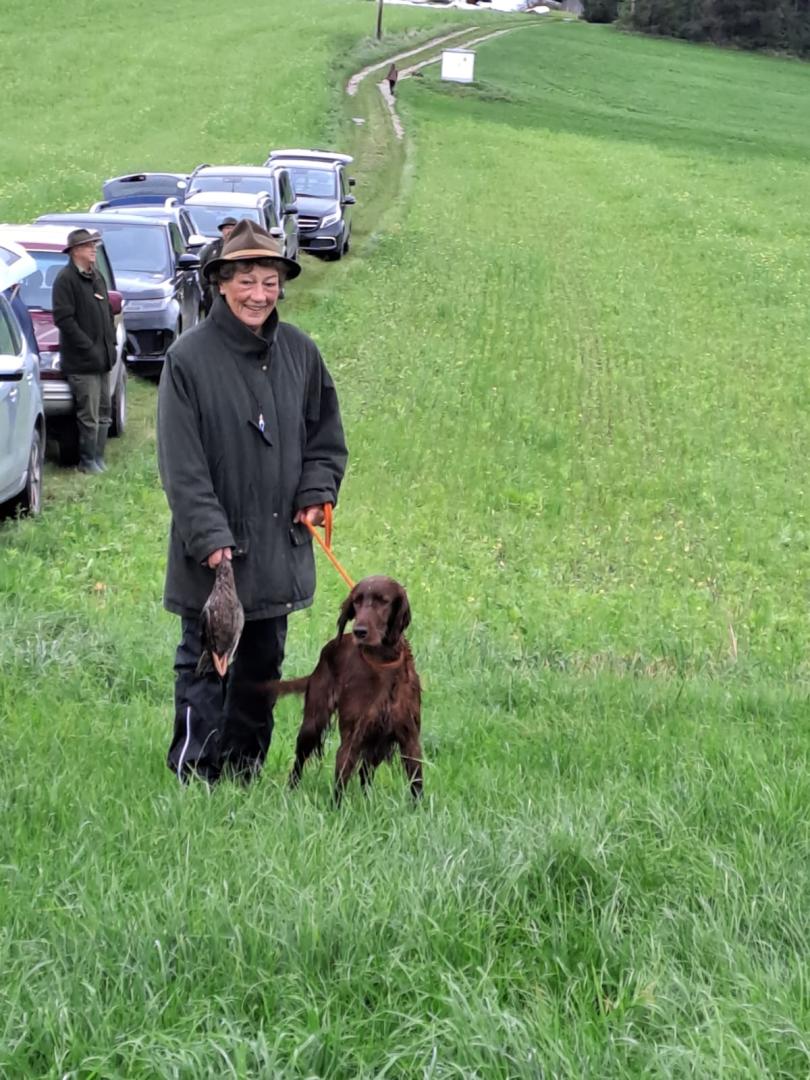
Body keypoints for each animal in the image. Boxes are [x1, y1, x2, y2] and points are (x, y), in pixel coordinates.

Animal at [273, 574, 425, 803]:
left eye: (383, 601)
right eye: (357, 601)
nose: (359, 632)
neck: (383, 662)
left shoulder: (409, 734)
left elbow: (417, 783)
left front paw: (420, 809)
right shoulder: (353, 733)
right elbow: (341, 777)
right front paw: (336, 809)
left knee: (366, 773)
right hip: (313, 723)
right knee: (300, 760)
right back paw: (290, 791)